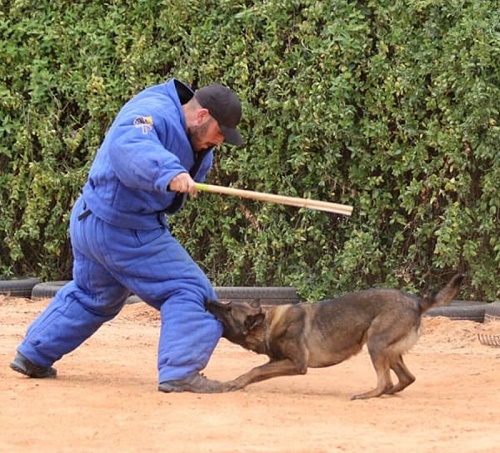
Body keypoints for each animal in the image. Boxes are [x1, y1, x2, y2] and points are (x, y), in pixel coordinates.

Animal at [206, 272, 464, 400]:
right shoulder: (279, 360)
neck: (268, 325)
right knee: (405, 379)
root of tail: (417, 302)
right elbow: (258, 370)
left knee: (386, 381)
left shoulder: (297, 364)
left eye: (228, 309)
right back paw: (386, 393)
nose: (207, 299)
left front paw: (235, 383)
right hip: (389, 351)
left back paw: (368, 394)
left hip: (376, 343)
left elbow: (256, 369)